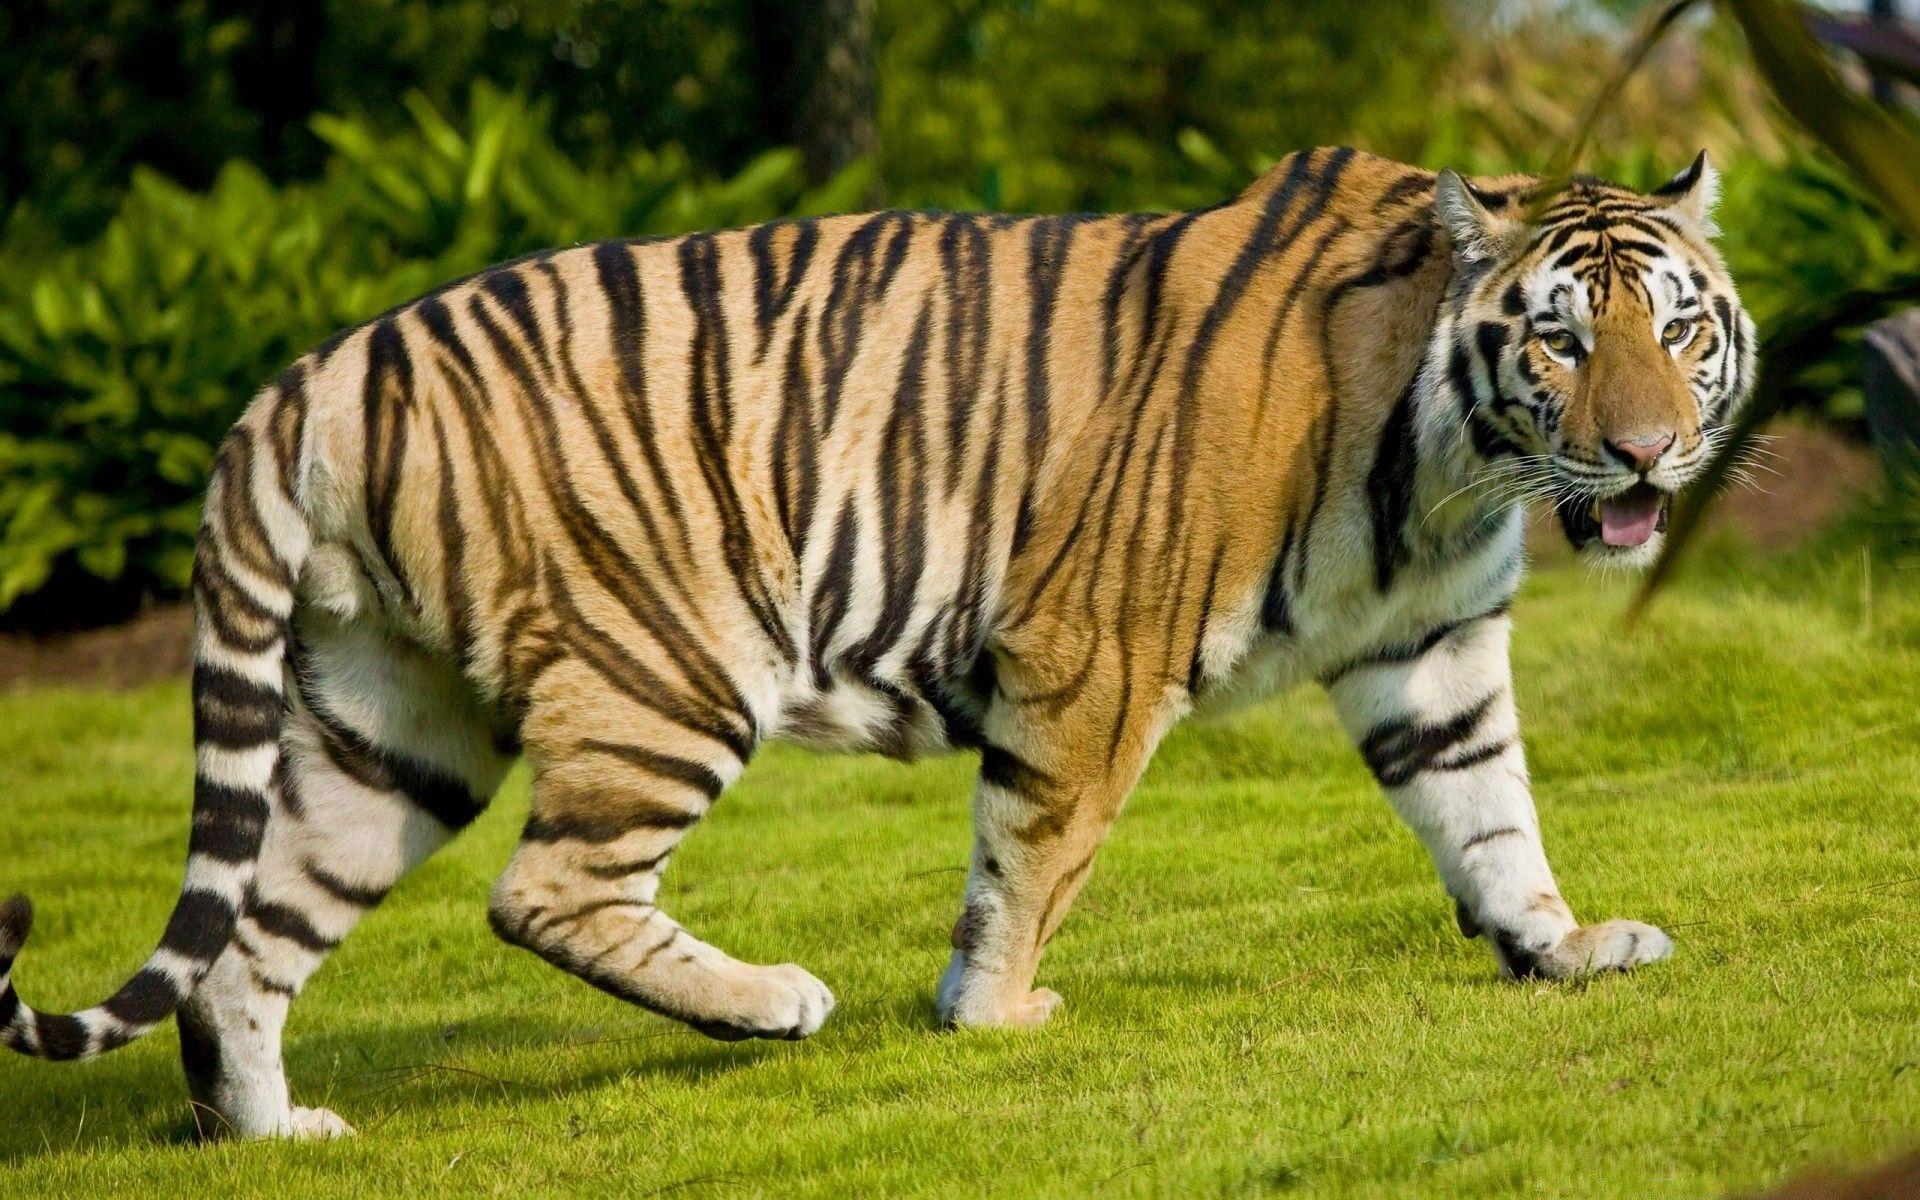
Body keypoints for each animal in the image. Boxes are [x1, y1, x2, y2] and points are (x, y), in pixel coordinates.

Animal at [0, 146, 1753, 1139]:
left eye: (1677, 328)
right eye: (1560, 339)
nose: (1651, 456)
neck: (1452, 466)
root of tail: (315, 370)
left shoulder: (1433, 649)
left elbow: (1490, 810)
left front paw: (1560, 946)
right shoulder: (1094, 649)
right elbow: (1037, 850)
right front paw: (995, 1014)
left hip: (390, 721)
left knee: (249, 943)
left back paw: (274, 1132)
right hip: (669, 667)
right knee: (543, 889)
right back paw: (771, 1002)